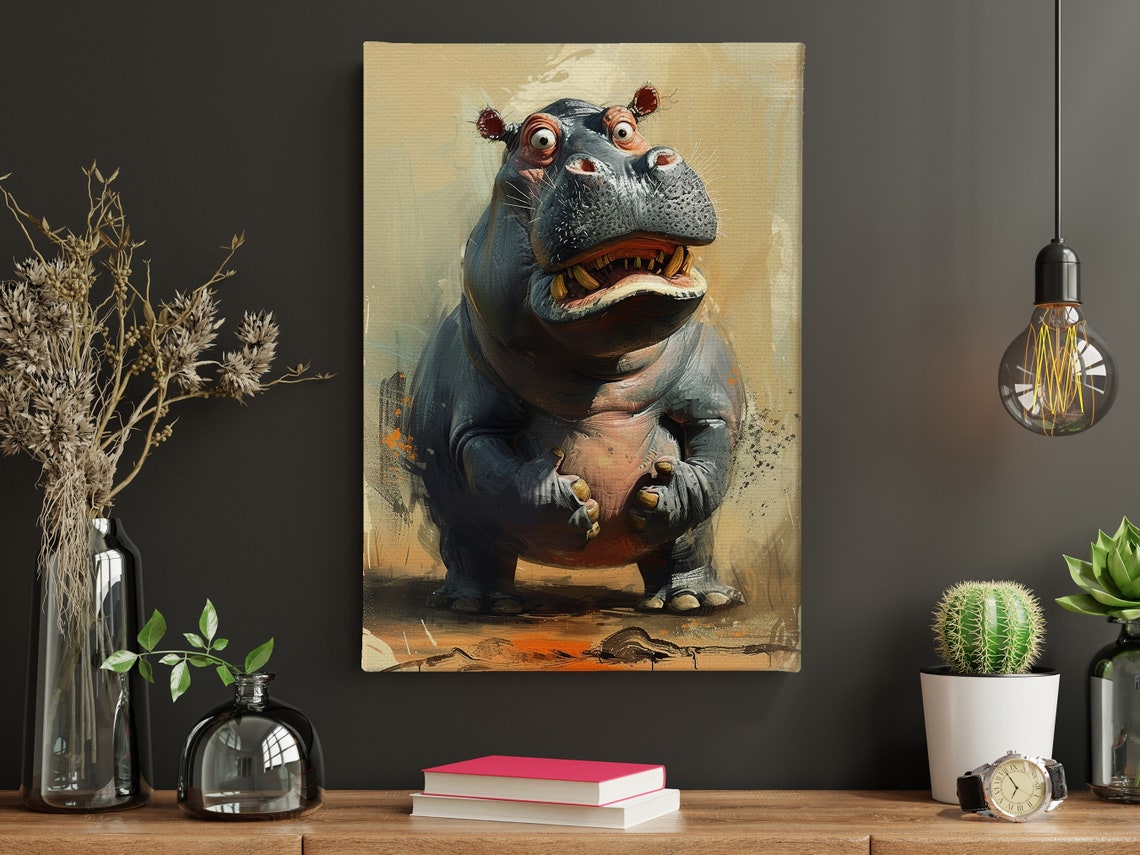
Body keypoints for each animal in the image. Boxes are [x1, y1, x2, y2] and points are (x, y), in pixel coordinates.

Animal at [404, 84, 745, 615]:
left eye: (625, 128)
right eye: (538, 140)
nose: (627, 169)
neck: (604, 371)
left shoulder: (711, 393)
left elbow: (713, 453)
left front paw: (662, 495)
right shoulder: (472, 414)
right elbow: (496, 470)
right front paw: (570, 499)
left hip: (693, 542)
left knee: (688, 546)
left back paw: (693, 600)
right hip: (455, 518)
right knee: (473, 548)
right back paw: (479, 604)